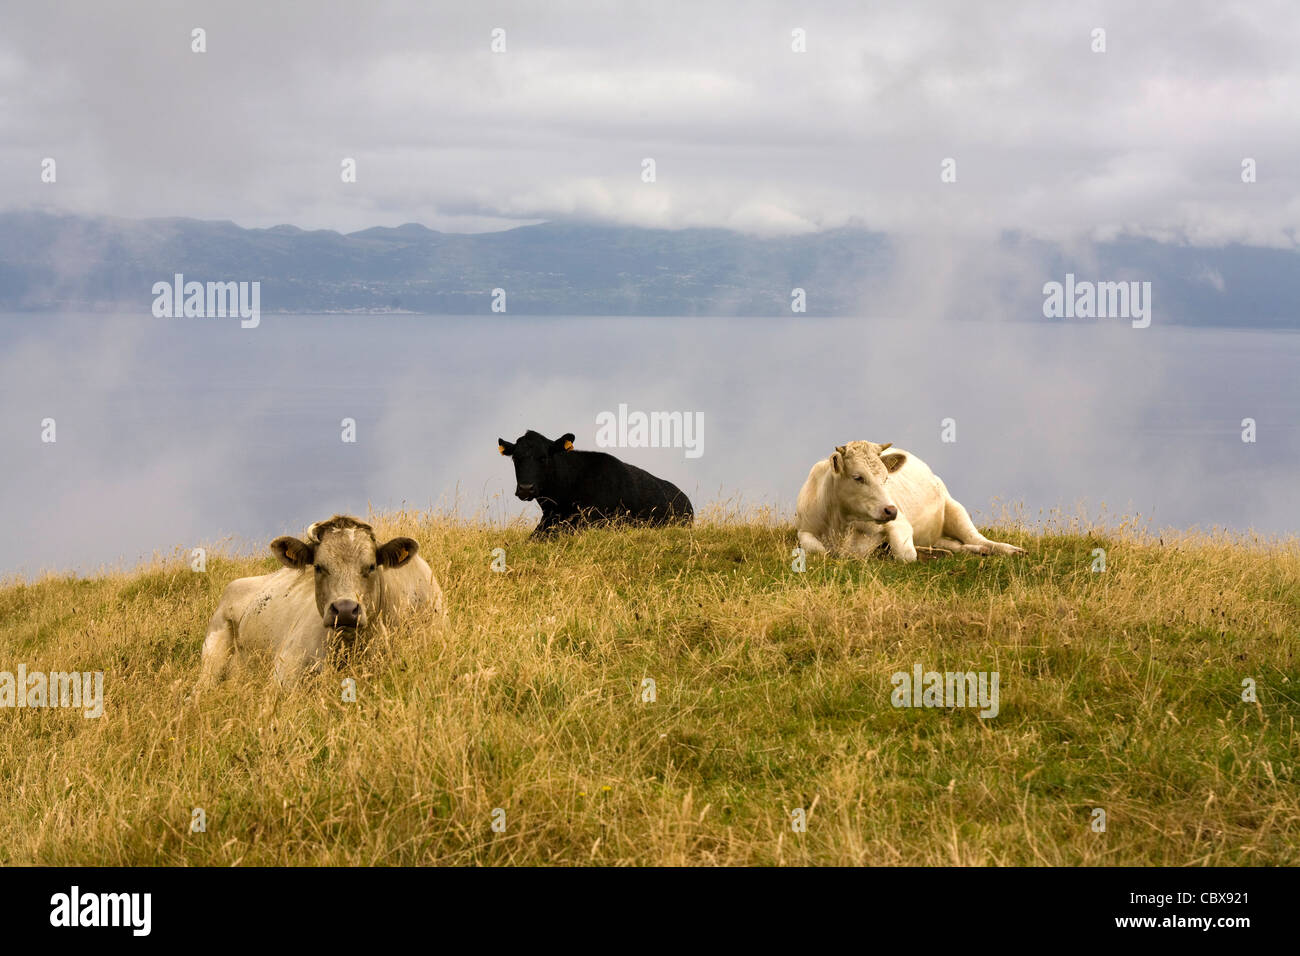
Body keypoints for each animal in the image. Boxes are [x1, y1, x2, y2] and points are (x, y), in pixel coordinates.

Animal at [790, 444, 1024, 564]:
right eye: (858, 477)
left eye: (886, 478)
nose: (890, 509)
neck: (840, 526)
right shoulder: (804, 529)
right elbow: (817, 549)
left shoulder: (900, 523)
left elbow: (906, 555)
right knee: (958, 546)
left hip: (955, 509)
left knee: (977, 538)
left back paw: (1010, 550)